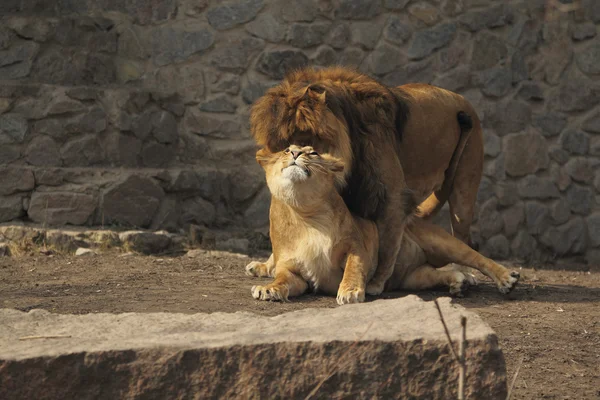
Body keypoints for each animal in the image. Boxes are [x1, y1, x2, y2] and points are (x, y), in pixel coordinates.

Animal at [246, 145, 516, 304]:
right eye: (285, 150)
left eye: (312, 153)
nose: (295, 154)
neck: (305, 215)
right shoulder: (292, 270)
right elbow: (283, 279)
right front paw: (268, 289)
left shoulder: (358, 247)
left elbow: (353, 267)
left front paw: (350, 292)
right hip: (413, 278)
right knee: (437, 273)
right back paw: (459, 283)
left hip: (441, 241)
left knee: (477, 258)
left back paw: (506, 279)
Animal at [251, 67, 486, 296]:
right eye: (283, 144)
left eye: (310, 140)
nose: (295, 152)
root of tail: (462, 98)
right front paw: (269, 266)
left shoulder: (392, 196)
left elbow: (386, 248)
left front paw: (375, 284)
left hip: (464, 191)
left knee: (463, 236)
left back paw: (466, 275)